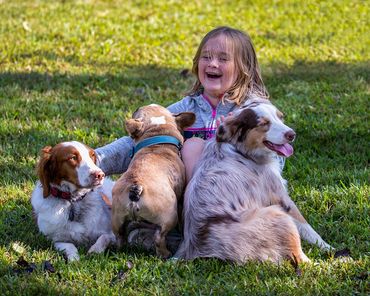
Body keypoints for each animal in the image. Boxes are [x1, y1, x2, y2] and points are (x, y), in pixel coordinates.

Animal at [111, 105, 195, 258]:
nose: (136, 107)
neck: (157, 142)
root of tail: (136, 187)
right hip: (169, 216)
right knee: (159, 237)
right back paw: (165, 253)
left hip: (116, 218)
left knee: (119, 236)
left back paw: (120, 248)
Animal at [174, 98, 332, 264]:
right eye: (263, 123)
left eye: (280, 117)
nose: (292, 134)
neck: (242, 151)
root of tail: (197, 250)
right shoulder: (281, 197)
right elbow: (308, 228)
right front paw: (328, 247)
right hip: (279, 216)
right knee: (301, 260)